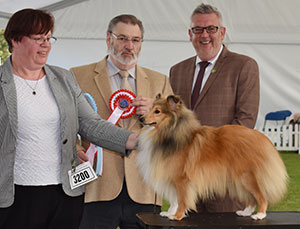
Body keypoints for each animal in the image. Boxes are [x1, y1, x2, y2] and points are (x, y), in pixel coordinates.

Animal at [136, 94, 288, 220]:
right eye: (150, 109)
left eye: (157, 111)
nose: (141, 118)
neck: (170, 133)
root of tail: (262, 137)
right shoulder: (172, 177)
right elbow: (175, 199)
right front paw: (169, 213)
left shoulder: (182, 179)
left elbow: (182, 199)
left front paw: (177, 216)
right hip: (240, 178)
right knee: (251, 197)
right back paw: (245, 212)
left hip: (247, 176)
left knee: (261, 196)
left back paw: (260, 215)